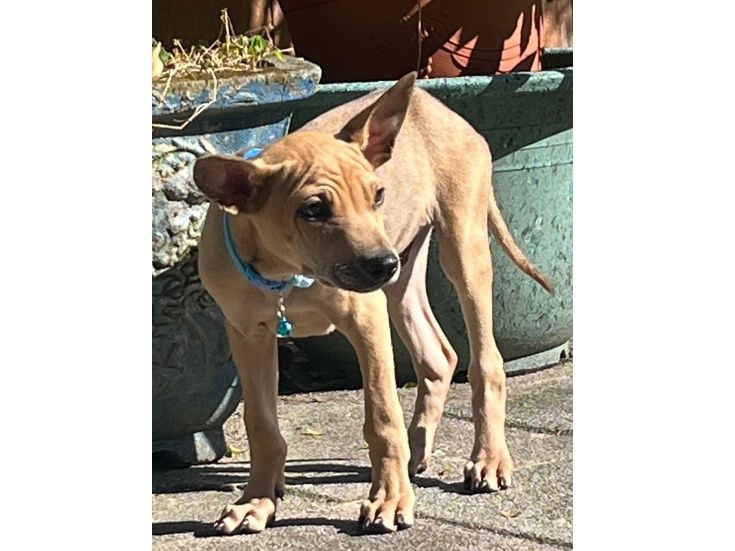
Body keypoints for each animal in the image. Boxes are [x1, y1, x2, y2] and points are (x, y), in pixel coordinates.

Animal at [192, 72, 553, 535]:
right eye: (313, 209)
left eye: (377, 195)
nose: (382, 263)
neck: (285, 276)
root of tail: (435, 105)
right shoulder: (247, 335)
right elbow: (262, 425)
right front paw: (256, 501)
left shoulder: (366, 319)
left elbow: (382, 416)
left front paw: (391, 499)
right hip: (403, 279)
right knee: (438, 356)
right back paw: (417, 454)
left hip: (461, 250)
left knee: (486, 362)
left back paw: (488, 460)